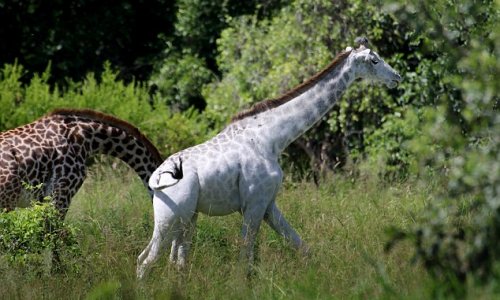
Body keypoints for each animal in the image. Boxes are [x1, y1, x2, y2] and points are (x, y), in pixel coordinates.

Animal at [137, 37, 402, 278]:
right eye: (374, 60)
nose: (397, 77)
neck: (271, 137)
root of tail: (155, 179)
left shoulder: (268, 204)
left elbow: (301, 246)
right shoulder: (254, 203)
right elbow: (245, 258)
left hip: (187, 219)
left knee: (174, 262)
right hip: (170, 218)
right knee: (146, 260)